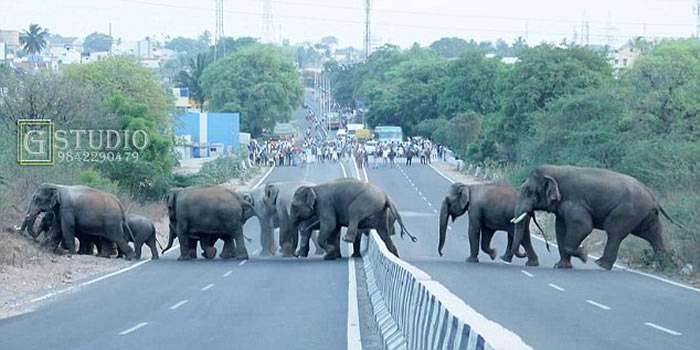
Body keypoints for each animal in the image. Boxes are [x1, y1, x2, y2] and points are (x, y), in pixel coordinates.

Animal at [512, 165, 680, 270]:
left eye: (529, 192)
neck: (555, 170)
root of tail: (652, 196)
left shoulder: (575, 201)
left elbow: (584, 226)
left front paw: (584, 255)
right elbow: (560, 229)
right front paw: (560, 266)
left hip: (627, 212)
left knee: (614, 231)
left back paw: (600, 264)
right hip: (646, 216)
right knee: (654, 236)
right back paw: (666, 268)